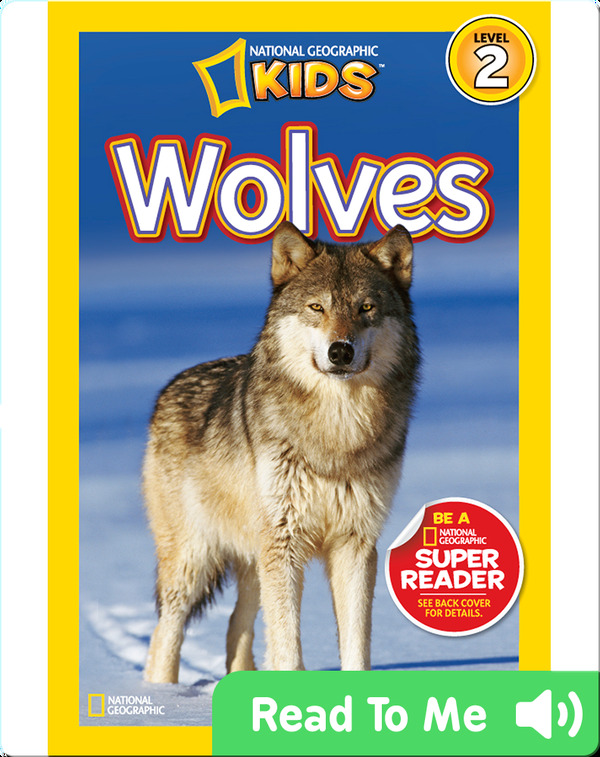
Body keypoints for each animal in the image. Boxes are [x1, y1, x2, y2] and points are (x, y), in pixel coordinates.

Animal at [143, 220, 420, 682]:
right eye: (316, 307)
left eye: (365, 308)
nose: (340, 351)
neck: (335, 431)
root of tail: (170, 385)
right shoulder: (285, 542)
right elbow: (288, 647)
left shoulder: (355, 543)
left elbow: (356, 645)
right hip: (194, 560)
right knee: (164, 634)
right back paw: (162, 692)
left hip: (254, 561)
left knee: (237, 625)